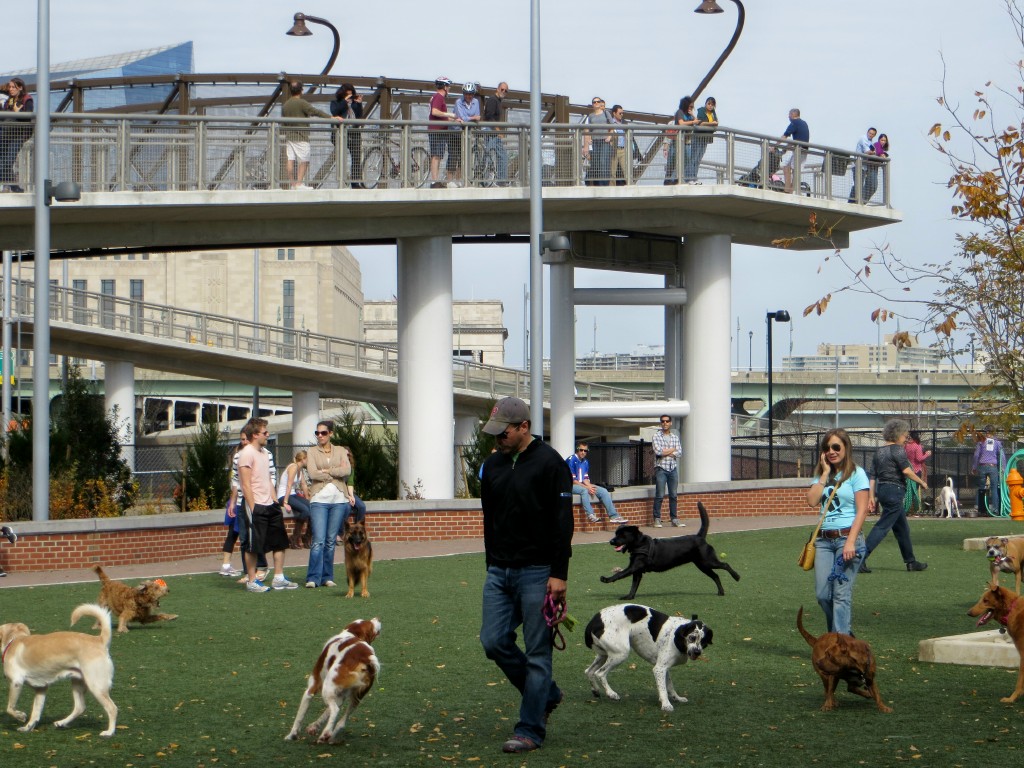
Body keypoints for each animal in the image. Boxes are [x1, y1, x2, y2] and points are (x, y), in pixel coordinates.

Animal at [1, 606, 117, 737]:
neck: (12, 641)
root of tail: (99, 640)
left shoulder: (16, 682)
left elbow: (10, 708)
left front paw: (21, 716)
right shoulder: (41, 689)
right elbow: (35, 712)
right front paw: (28, 727)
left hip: (96, 685)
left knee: (112, 708)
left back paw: (109, 732)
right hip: (77, 682)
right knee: (80, 707)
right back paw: (61, 723)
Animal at [598, 499, 737, 602]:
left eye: (622, 535)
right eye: (616, 534)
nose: (611, 541)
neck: (640, 544)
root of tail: (700, 537)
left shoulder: (634, 567)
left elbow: (620, 574)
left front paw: (606, 579)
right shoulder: (637, 572)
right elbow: (633, 586)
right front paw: (629, 597)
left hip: (708, 561)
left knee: (725, 565)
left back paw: (736, 577)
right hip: (702, 565)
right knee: (716, 575)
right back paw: (721, 592)